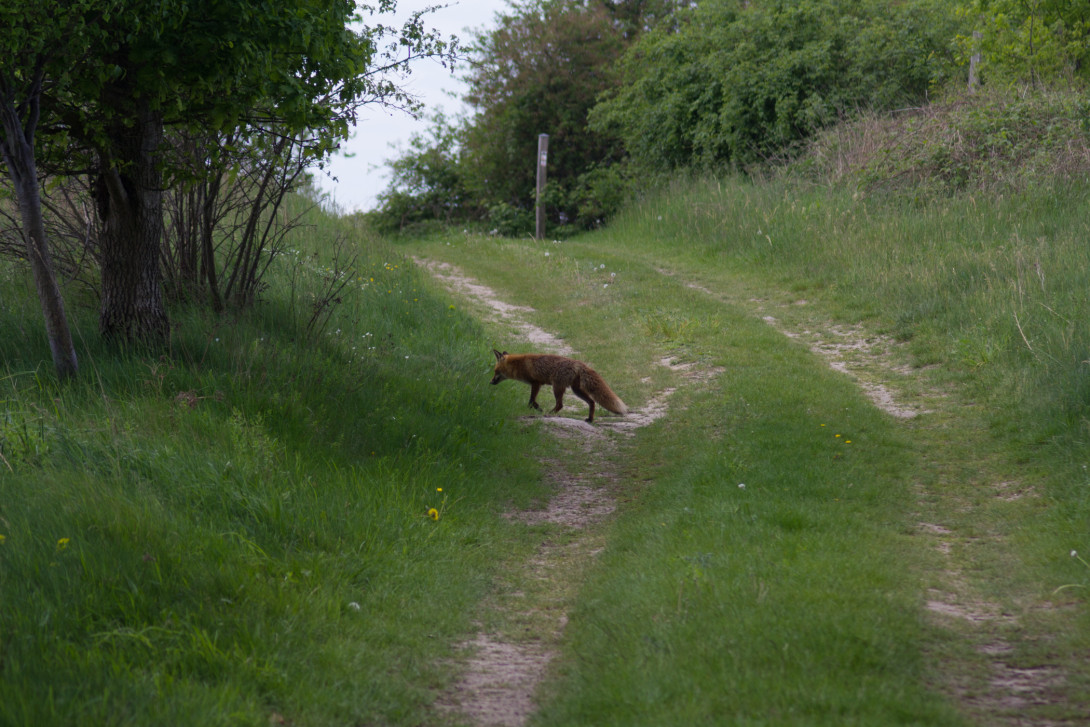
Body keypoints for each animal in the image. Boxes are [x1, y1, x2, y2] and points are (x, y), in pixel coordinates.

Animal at [490, 349, 628, 424]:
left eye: (495, 371)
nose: (490, 382)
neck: (519, 365)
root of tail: (579, 363)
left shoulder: (536, 383)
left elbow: (531, 401)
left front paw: (539, 409)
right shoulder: (537, 384)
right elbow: (532, 401)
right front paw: (538, 408)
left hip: (557, 387)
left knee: (560, 405)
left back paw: (549, 414)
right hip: (576, 390)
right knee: (592, 402)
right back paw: (590, 419)